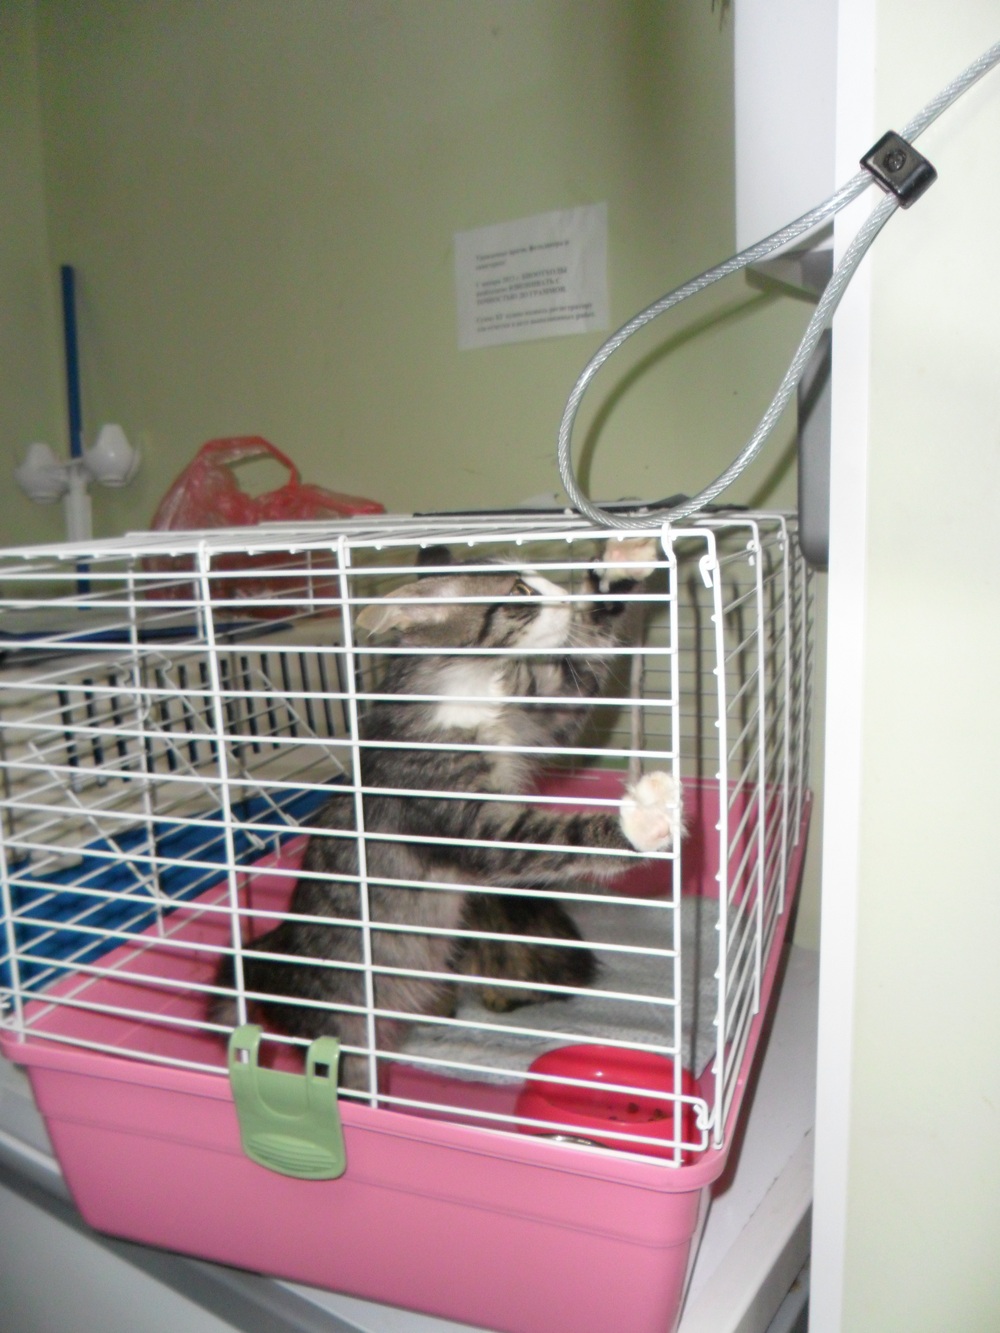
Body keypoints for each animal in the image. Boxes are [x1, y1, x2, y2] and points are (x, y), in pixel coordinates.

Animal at [211, 536, 681, 1090]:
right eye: (519, 592)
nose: (565, 596)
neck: (469, 687)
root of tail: (271, 956)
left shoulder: (537, 719)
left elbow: (581, 671)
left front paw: (617, 569)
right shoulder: (468, 817)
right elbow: (549, 839)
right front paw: (645, 820)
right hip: (341, 1035)